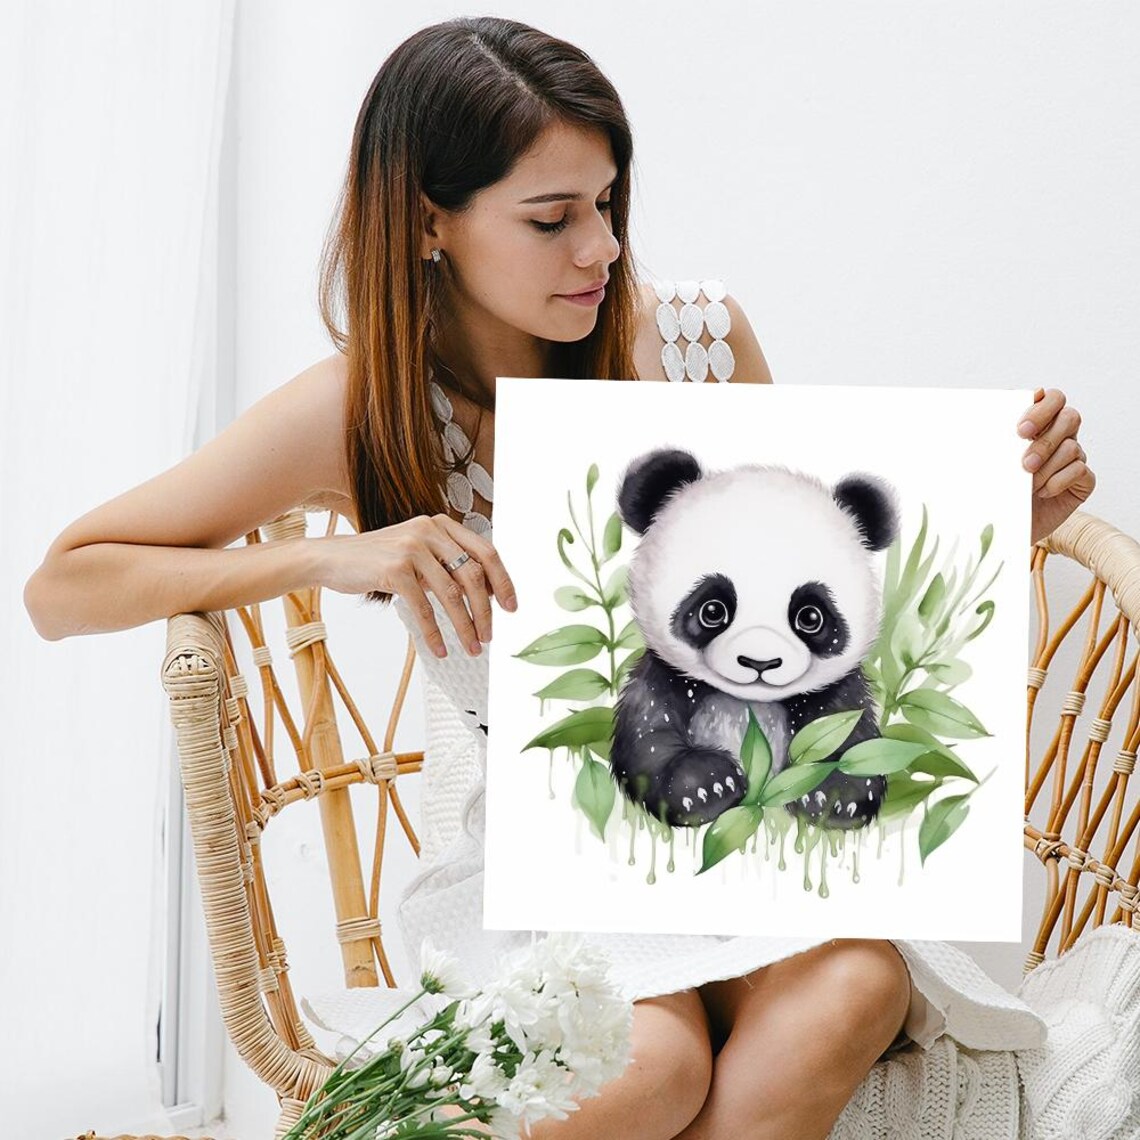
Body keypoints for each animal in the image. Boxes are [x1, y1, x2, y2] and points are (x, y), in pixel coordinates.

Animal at [610, 447, 899, 832]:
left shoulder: (838, 692)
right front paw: (706, 785)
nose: (760, 662)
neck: (750, 702)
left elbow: (854, 741)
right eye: (712, 610)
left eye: (810, 616)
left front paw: (834, 797)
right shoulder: (662, 676)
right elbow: (647, 737)